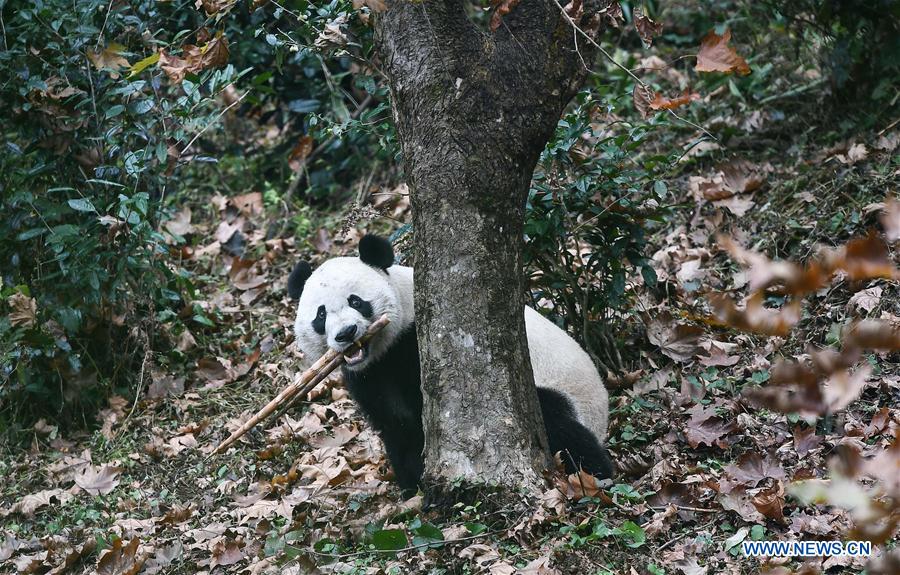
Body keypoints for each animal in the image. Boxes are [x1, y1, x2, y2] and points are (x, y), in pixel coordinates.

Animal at [288, 234, 612, 496]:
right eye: (321, 315)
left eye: (356, 301)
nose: (346, 333)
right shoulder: (370, 375)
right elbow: (396, 426)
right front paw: (413, 487)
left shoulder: (415, 344)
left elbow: (421, 412)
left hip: (554, 391)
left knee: (560, 426)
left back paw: (596, 474)